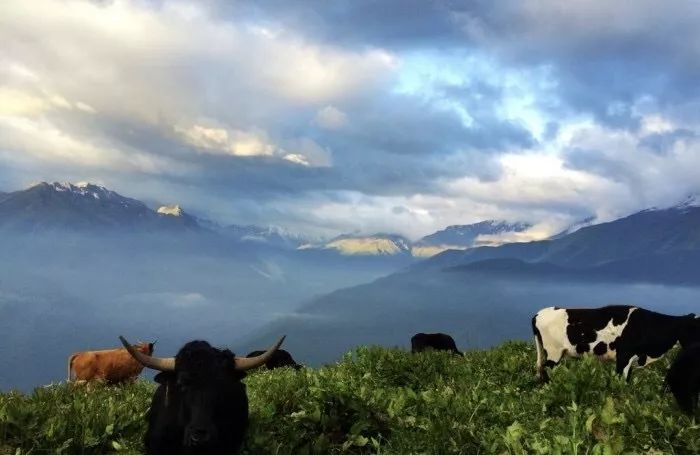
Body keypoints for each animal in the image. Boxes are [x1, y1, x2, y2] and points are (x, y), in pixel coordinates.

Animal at [532, 304, 696, 382]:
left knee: (540, 368)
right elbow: (620, 382)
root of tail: (539, 313)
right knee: (546, 370)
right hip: (553, 352)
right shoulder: (623, 357)